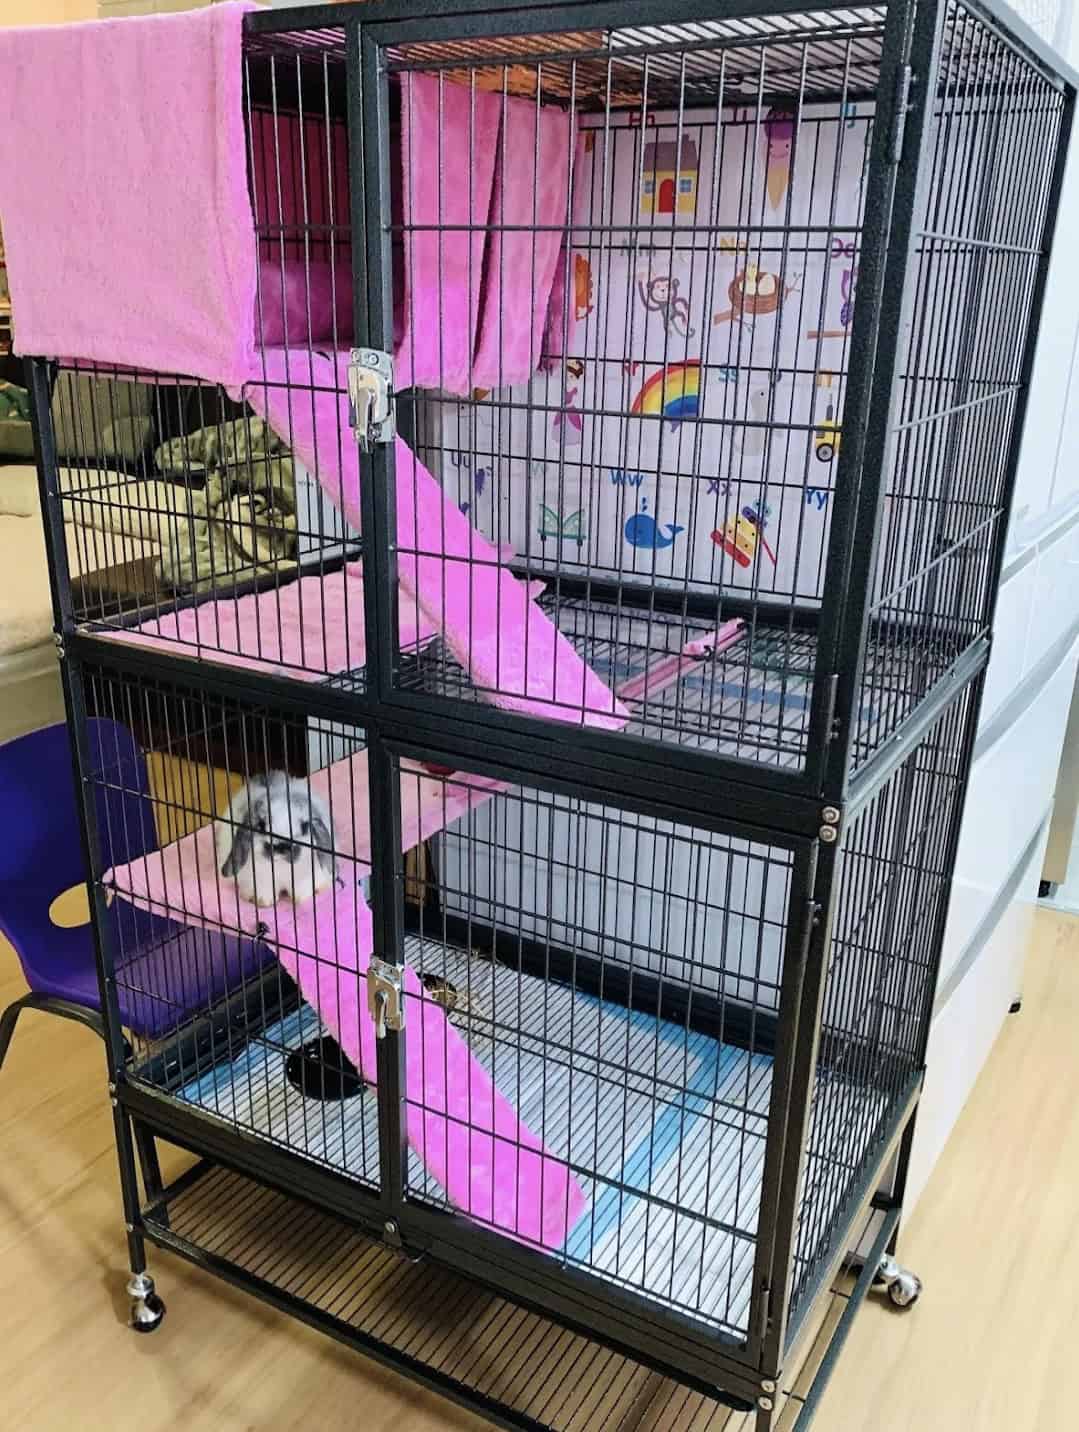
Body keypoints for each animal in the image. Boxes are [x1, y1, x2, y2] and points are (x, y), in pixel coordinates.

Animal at [214, 771, 337, 908]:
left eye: (305, 827)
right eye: (261, 825)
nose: (280, 848)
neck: (281, 866)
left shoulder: (305, 878)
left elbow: (301, 890)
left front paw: (301, 898)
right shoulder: (260, 880)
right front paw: (263, 902)